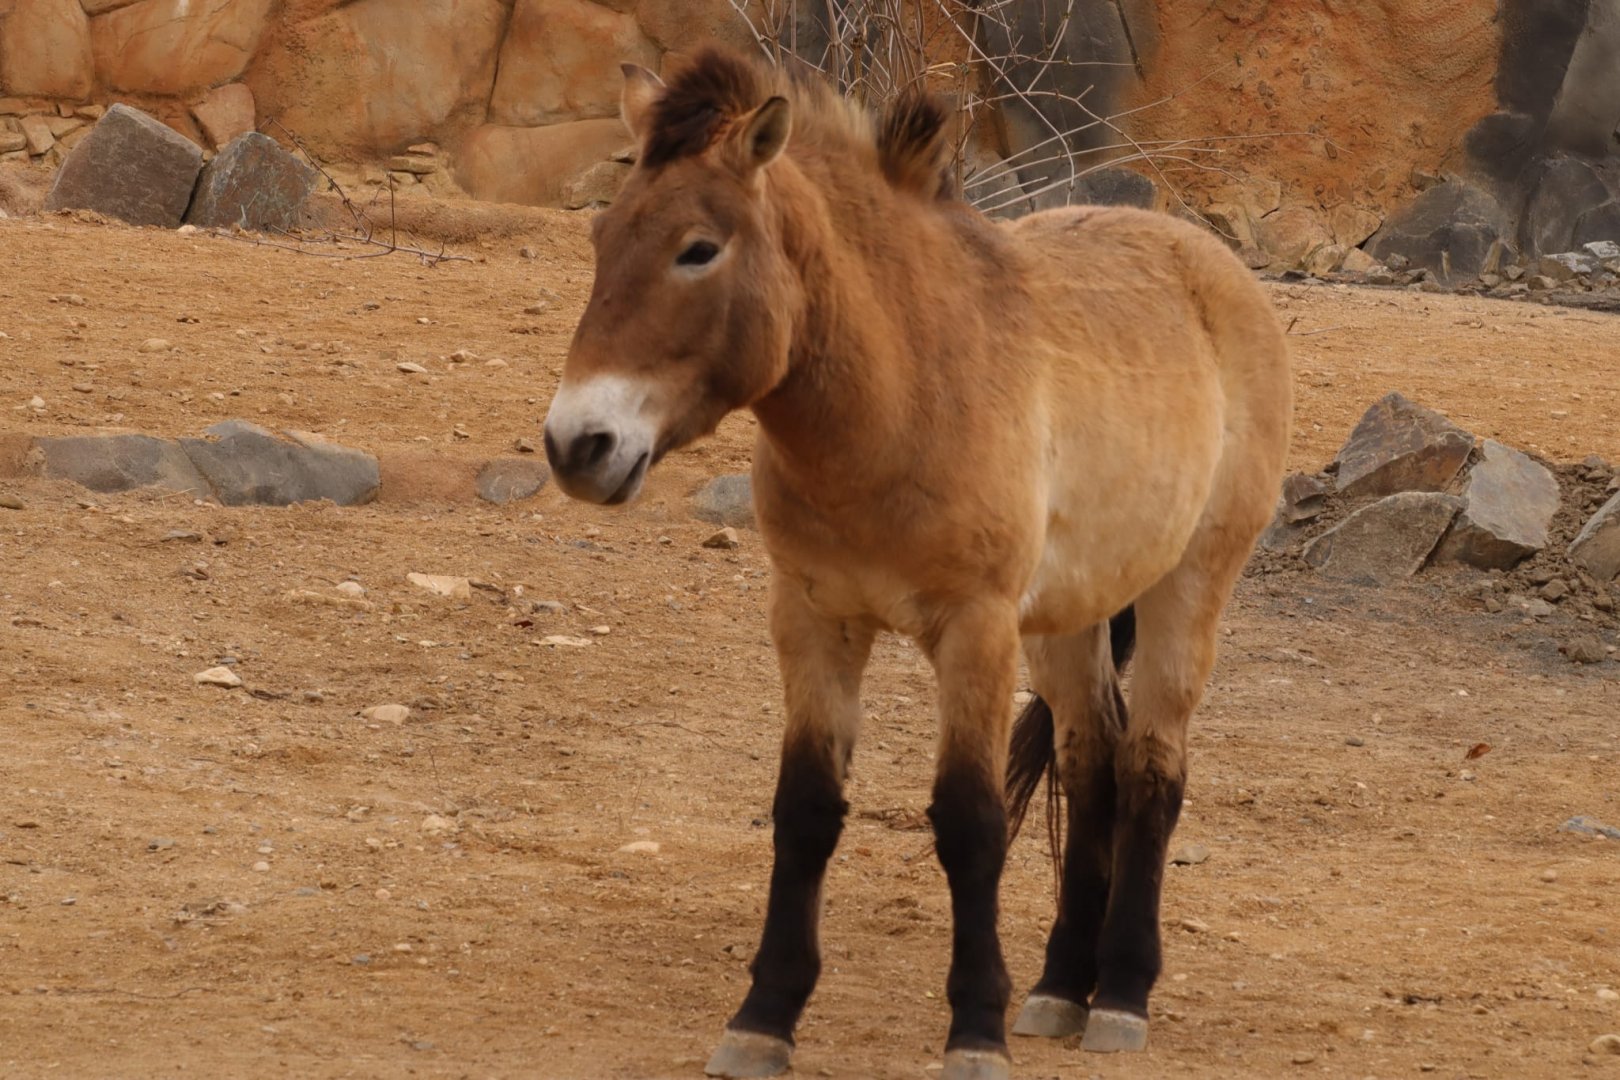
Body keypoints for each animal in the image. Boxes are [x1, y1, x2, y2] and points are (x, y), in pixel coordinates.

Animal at [542, 46, 1291, 1080]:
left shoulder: (973, 631)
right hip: (1068, 617)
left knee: (1150, 768)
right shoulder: (814, 619)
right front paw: (764, 1017)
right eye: (601, 236)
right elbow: (806, 809)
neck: (899, 397)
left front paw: (974, 1029)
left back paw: (1122, 995)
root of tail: (1210, 263)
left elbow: (969, 823)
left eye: (698, 248)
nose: (578, 445)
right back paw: (1061, 987)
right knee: (1091, 763)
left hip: (1188, 589)